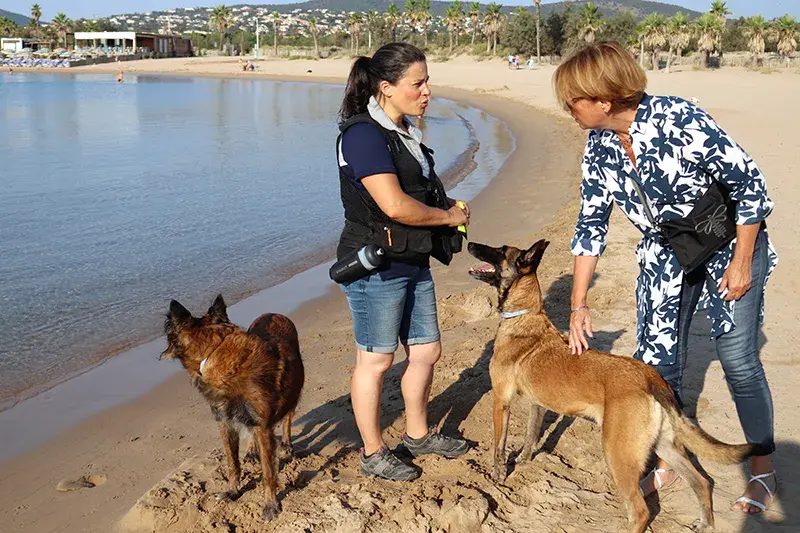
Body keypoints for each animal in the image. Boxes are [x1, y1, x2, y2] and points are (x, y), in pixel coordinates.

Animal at [161, 296, 304, 520]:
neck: (214, 352)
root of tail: (274, 313)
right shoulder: (226, 423)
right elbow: (232, 464)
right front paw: (233, 491)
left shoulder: (262, 426)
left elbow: (268, 472)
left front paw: (271, 505)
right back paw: (252, 451)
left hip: (295, 389)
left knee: (288, 416)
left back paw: (287, 444)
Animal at [466, 241, 764, 532]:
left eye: (499, 251)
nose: (469, 244)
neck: (524, 315)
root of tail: (650, 377)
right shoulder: (538, 404)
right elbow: (531, 436)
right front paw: (524, 460)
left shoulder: (501, 401)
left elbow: (499, 445)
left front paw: (497, 475)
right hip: (663, 445)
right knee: (702, 482)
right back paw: (705, 523)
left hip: (618, 454)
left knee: (641, 511)